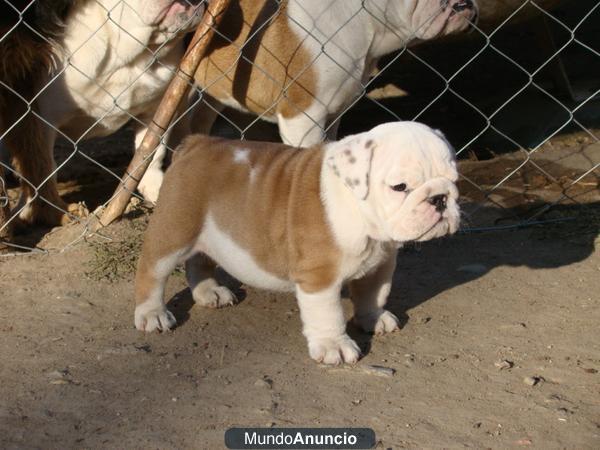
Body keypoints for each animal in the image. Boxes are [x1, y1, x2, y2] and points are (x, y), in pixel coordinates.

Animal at [135, 121, 460, 364]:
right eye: (400, 187)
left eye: (454, 180)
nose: (440, 198)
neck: (361, 214)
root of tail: (198, 143)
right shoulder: (319, 277)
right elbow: (328, 313)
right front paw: (334, 346)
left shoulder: (379, 266)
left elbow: (373, 294)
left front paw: (373, 318)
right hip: (174, 230)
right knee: (152, 270)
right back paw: (152, 314)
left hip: (209, 232)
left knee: (199, 260)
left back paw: (209, 292)